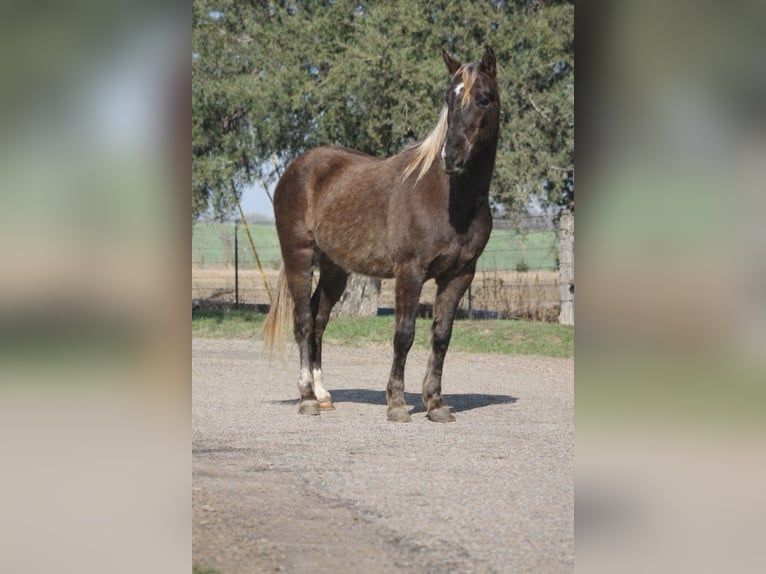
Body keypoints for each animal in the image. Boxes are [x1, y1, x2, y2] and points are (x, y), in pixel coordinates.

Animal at [262, 46, 500, 422]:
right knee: (302, 321)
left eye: (484, 98)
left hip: (334, 269)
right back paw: (307, 398)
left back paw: (323, 394)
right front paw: (398, 403)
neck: (450, 198)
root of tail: (297, 168)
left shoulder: (460, 275)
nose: (452, 157)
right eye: (450, 98)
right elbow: (404, 335)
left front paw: (436, 403)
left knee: (318, 319)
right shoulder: (410, 272)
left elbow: (441, 336)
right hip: (299, 255)